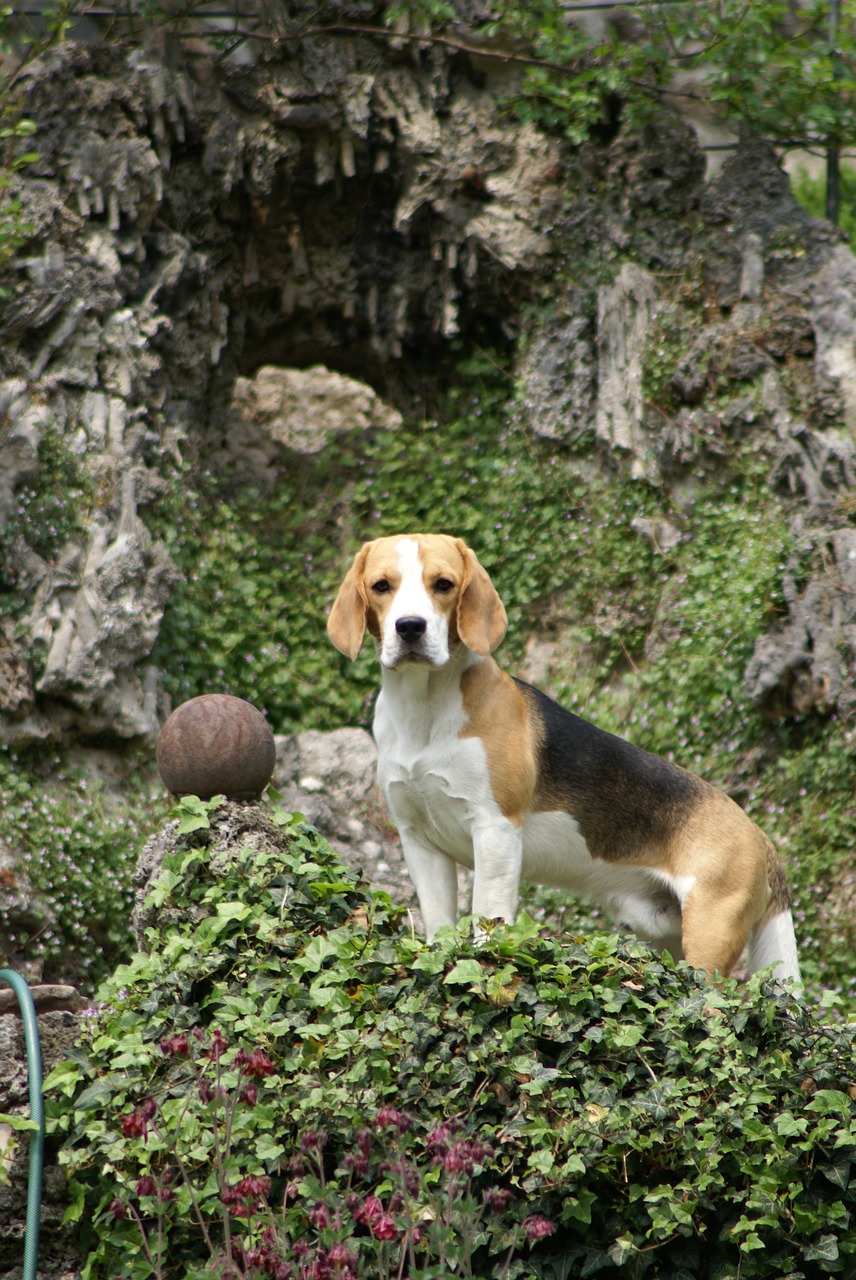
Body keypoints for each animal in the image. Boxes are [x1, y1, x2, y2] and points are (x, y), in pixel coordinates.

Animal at [327, 535, 803, 983]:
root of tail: (760, 836)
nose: (410, 627)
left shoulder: (496, 829)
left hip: (710, 934)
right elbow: (439, 920)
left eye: (442, 584)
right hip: (670, 936)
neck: (424, 708)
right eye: (382, 586)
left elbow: (487, 915)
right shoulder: (418, 839)